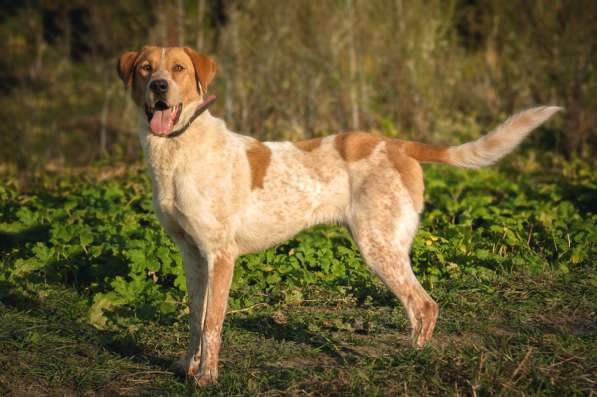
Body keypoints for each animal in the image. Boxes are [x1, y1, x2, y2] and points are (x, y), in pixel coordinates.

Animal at [116, 46, 560, 384]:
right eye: (145, 68)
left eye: (178, 69)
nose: (159, 87)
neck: (176, 148)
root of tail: (399, 144)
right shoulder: (192, 254)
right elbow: (195, 318)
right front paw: (186, 368)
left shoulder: (221, 255)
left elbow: (213, 323)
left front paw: (207, 378)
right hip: (387, 247)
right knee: (419, 306)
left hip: (379, 247)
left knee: (424, 305)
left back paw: (412, 359)